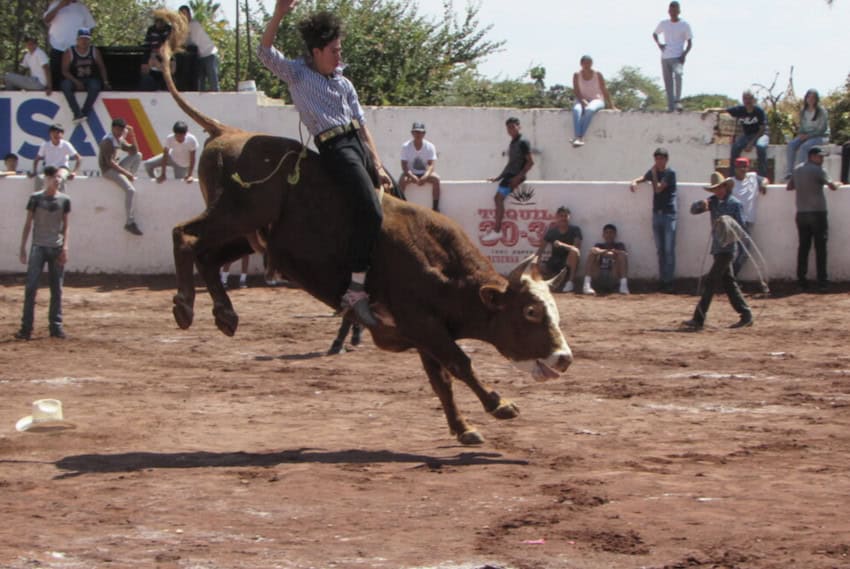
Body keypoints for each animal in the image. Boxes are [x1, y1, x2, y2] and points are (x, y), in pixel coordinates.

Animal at [161, 45, 568, 444]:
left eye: (553, 311)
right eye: (531, 311)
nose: (565, 357)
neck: (441, 265)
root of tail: (228, 130)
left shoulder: (422, 333)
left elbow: (441, 380)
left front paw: (463, 427)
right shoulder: (424, 324)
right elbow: (460, 363)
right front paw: (500, 405)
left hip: (248, 235)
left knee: (208, 257)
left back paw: (224, 314)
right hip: (235, 214)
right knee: (184, 235)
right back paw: (184, 305)